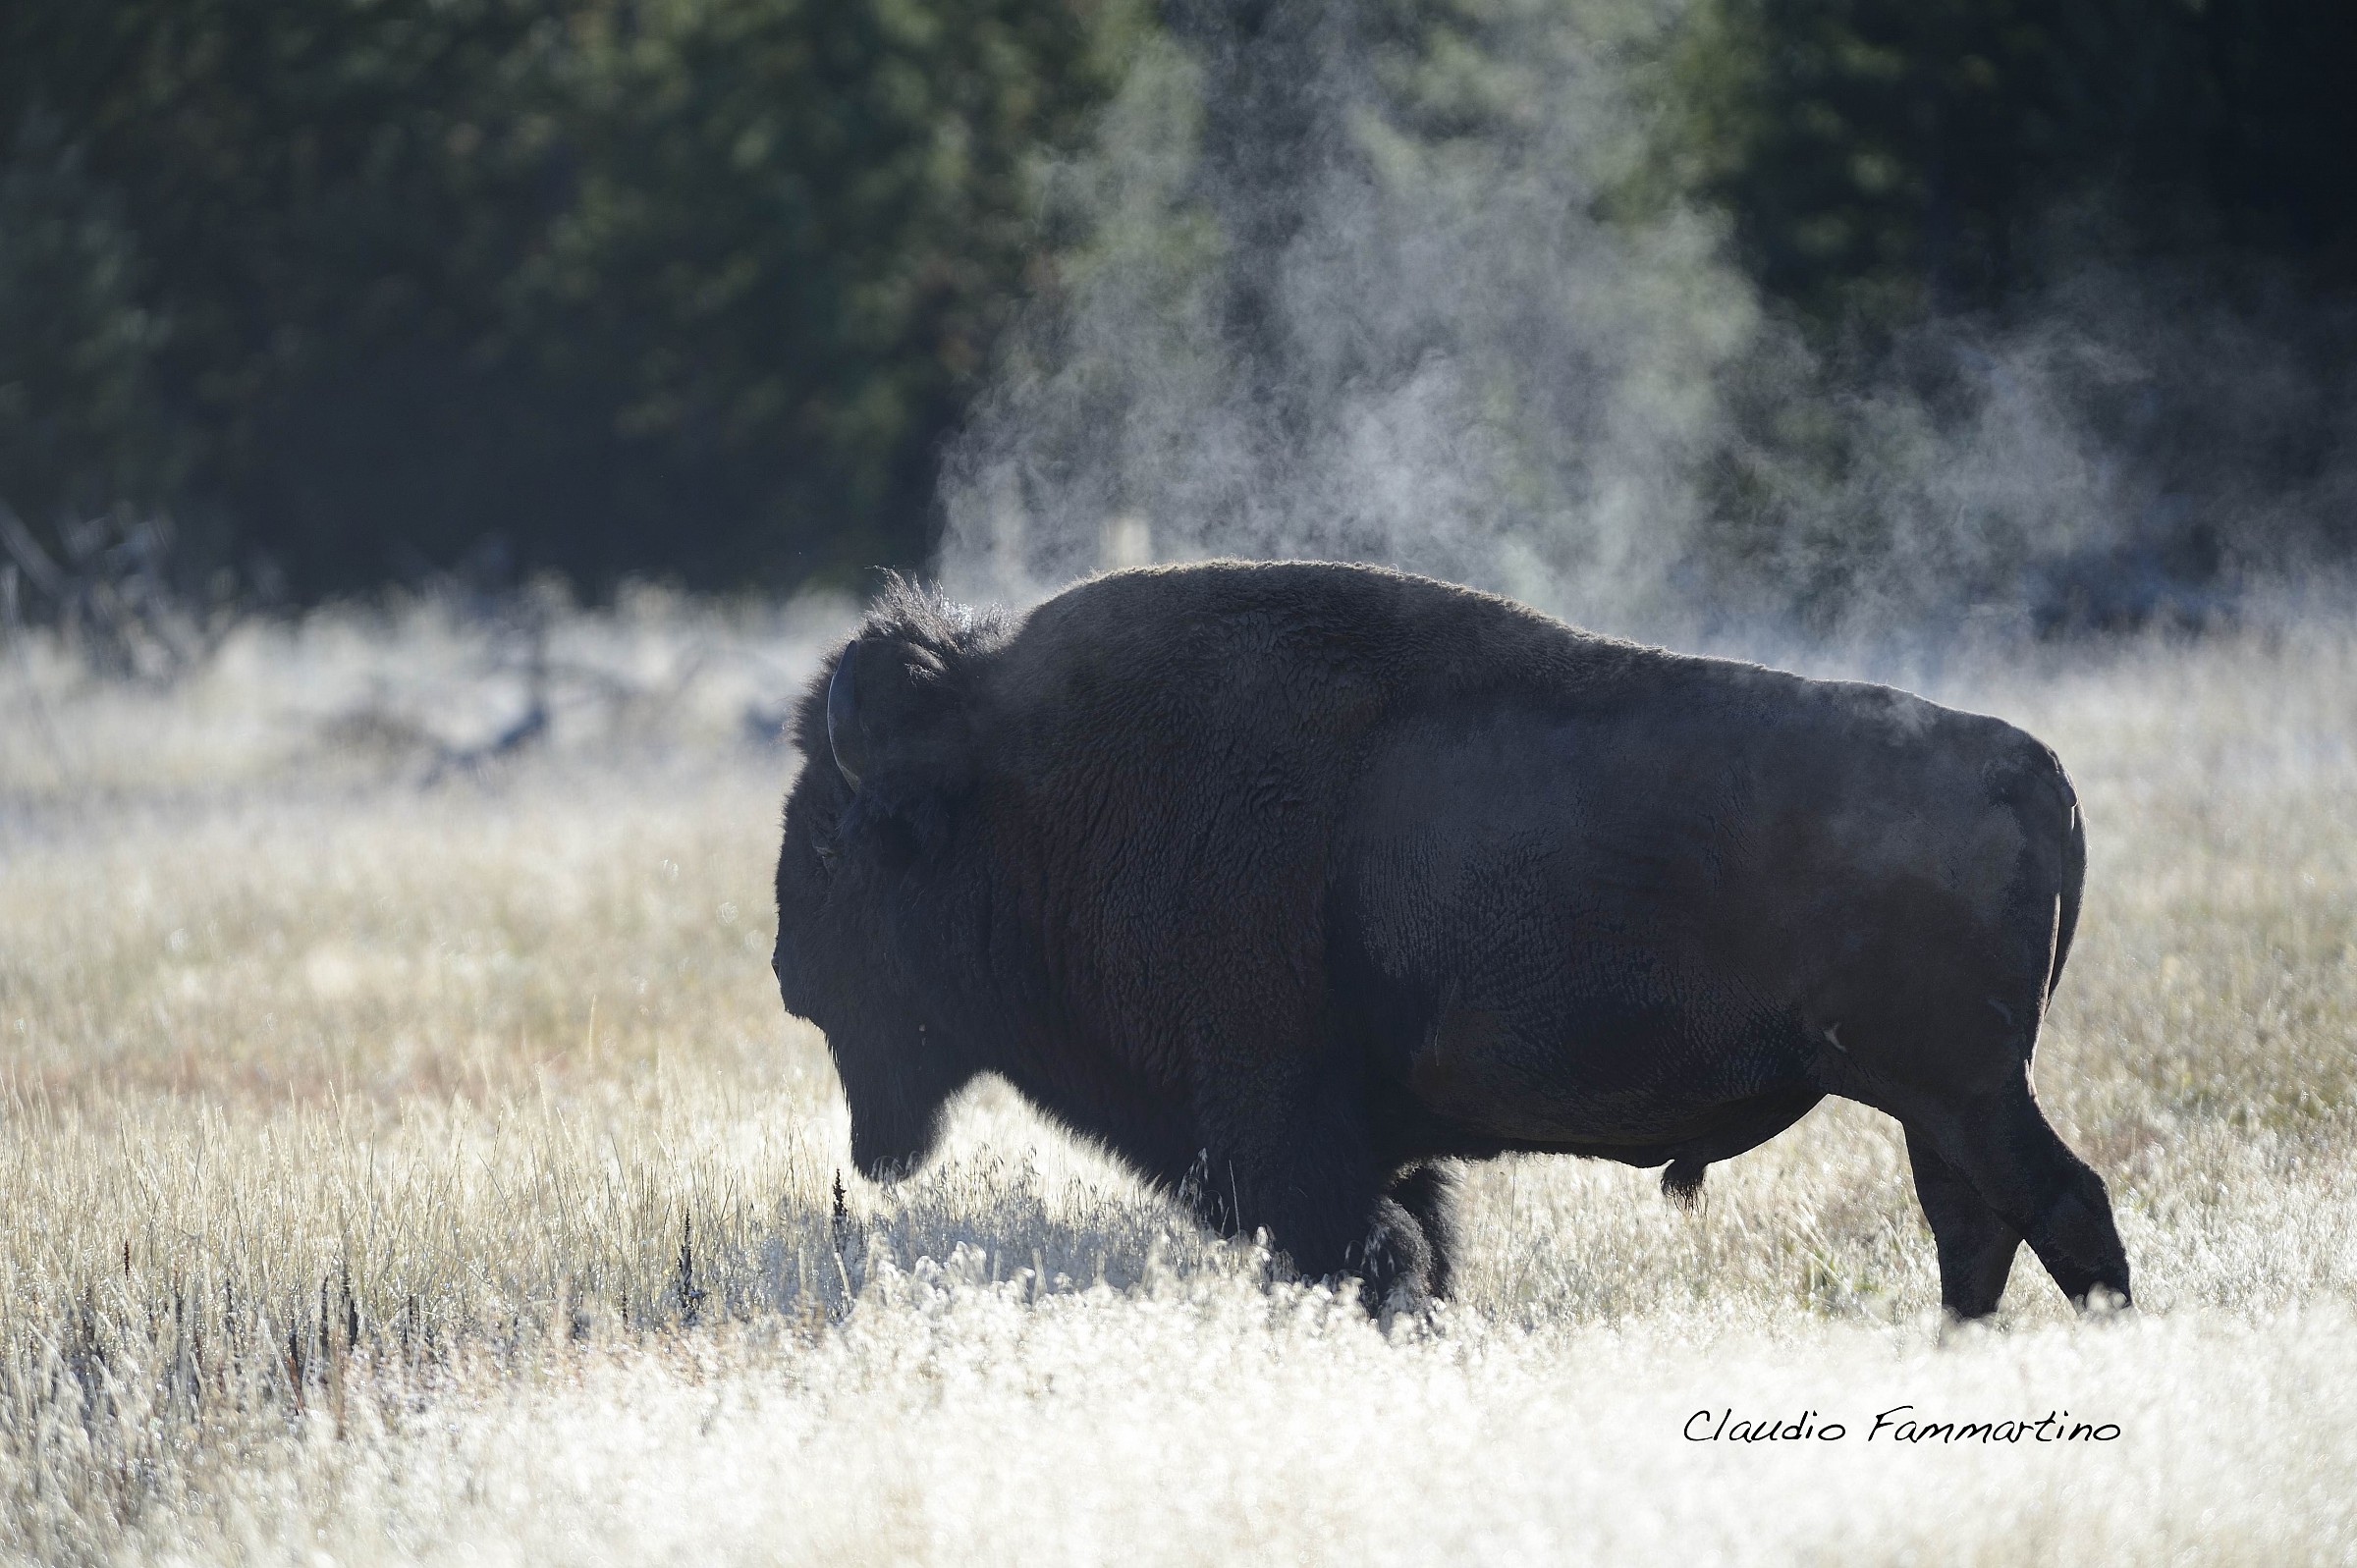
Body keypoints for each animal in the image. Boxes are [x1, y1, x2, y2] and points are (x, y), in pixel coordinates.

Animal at [771, 561, 2132, 1319]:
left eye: (834, 844)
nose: (787, 967)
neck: (1026, 783)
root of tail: (2035, 768)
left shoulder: (1286, 1142)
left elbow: (1378, 1257)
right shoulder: (1372, 1151)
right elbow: (1420, 1252)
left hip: (1962, 1093)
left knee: (2060, 1209)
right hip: (1935, 1107)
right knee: (1978, 1235)